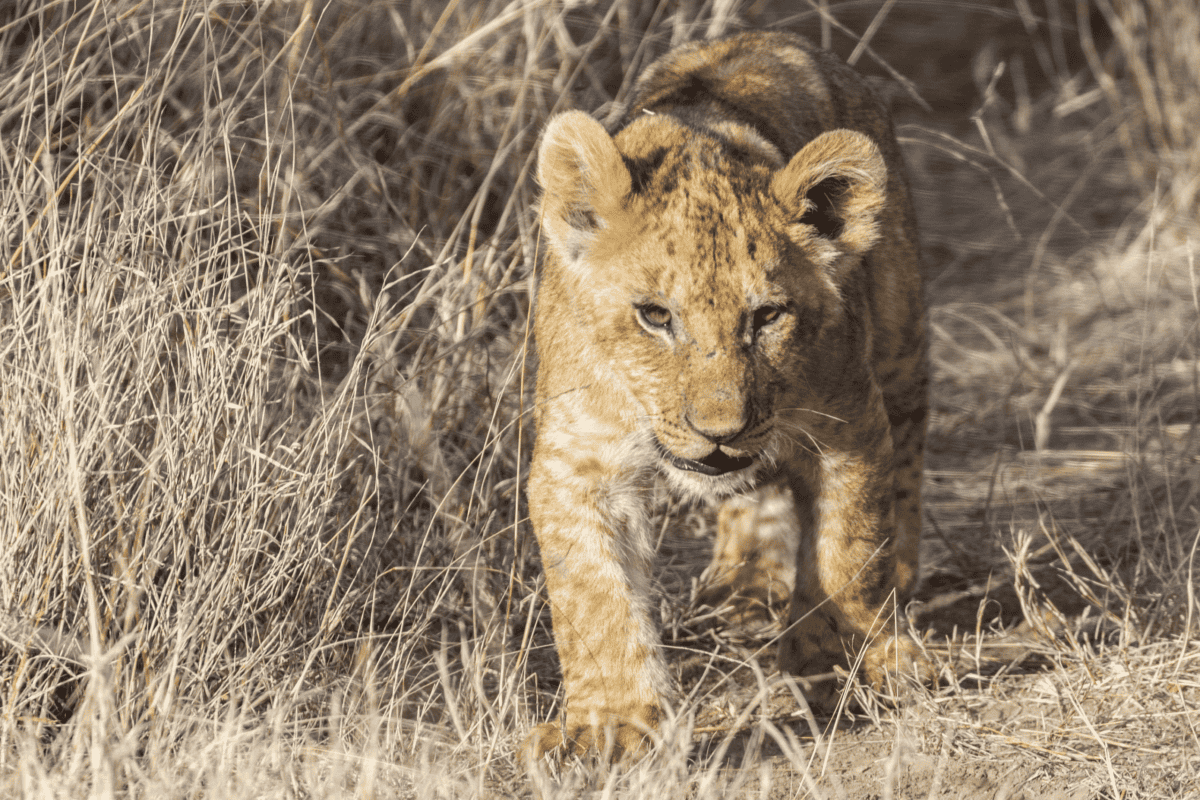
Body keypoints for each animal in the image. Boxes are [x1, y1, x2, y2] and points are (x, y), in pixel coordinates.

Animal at [525, 30, 929, 764]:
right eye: (655, 316)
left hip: (901, 330)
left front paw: (842, 660)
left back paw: (899, 587)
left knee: (905, 457)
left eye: (766, 317)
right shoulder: (579, 457)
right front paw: (611, 725)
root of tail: (766, 35)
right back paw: (744, 579)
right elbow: (593, 593)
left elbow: (849, 549)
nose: (721, 430)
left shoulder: (847, 422)